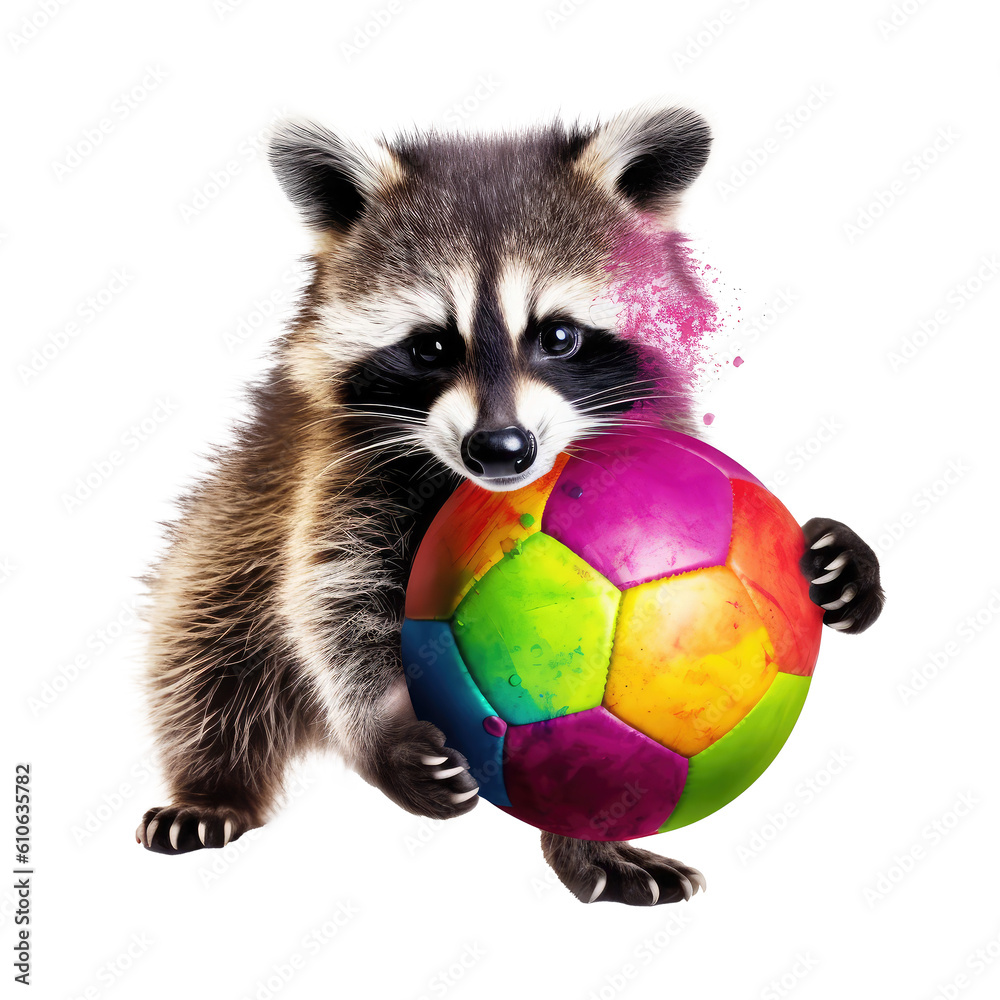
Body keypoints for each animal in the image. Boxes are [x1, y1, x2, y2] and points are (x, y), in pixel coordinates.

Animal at [136, 105, 885, 905]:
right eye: (432, 346)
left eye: (558, 335)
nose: (499, 449)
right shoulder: (336, 466)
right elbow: (334, 600)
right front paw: (383, 730)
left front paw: (841, 566)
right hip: (233, 523)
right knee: (206, 651)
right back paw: (213, 785)